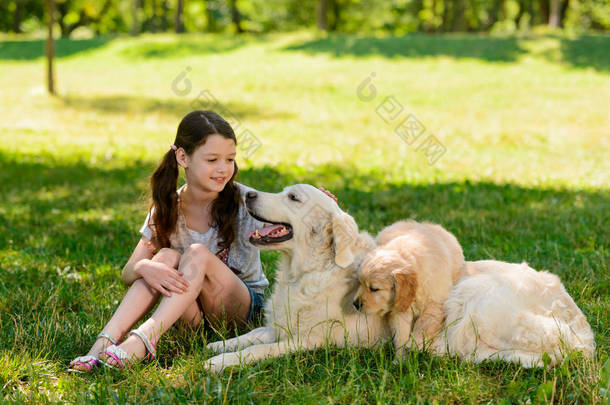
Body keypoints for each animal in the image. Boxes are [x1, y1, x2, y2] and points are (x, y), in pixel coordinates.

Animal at [202, 185, 388, 370]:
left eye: (293, 197)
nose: (248, 194)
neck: (304, 272)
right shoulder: (279, 324)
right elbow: (253, 334)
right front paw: (220, 345)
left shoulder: (309, 339)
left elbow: (260, 348)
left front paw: (220, 361)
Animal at [354, 221, 464, 356]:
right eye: (359, 283)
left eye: (374, 289)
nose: (355, 304)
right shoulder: (399, 310)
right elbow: (401, 334)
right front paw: (400, 358)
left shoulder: (435, 304)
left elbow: (424, 323)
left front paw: (416, 344)